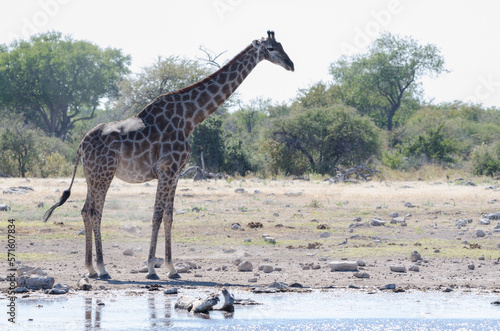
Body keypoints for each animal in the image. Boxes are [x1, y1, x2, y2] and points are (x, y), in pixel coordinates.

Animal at [44, 30, 292, 280]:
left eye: (282, 45)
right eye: (271, 48)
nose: (290, 64)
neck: (190, 118)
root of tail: (81, 144)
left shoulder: (176, 173)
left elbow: (169, 216)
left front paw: (172, 268)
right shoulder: (166, 170)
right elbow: (156, 215)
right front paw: (152, 268)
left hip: (92, 175)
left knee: (86, 210)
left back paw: (91, 268)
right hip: (104, 174)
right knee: (95, 212)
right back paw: (103, 268)